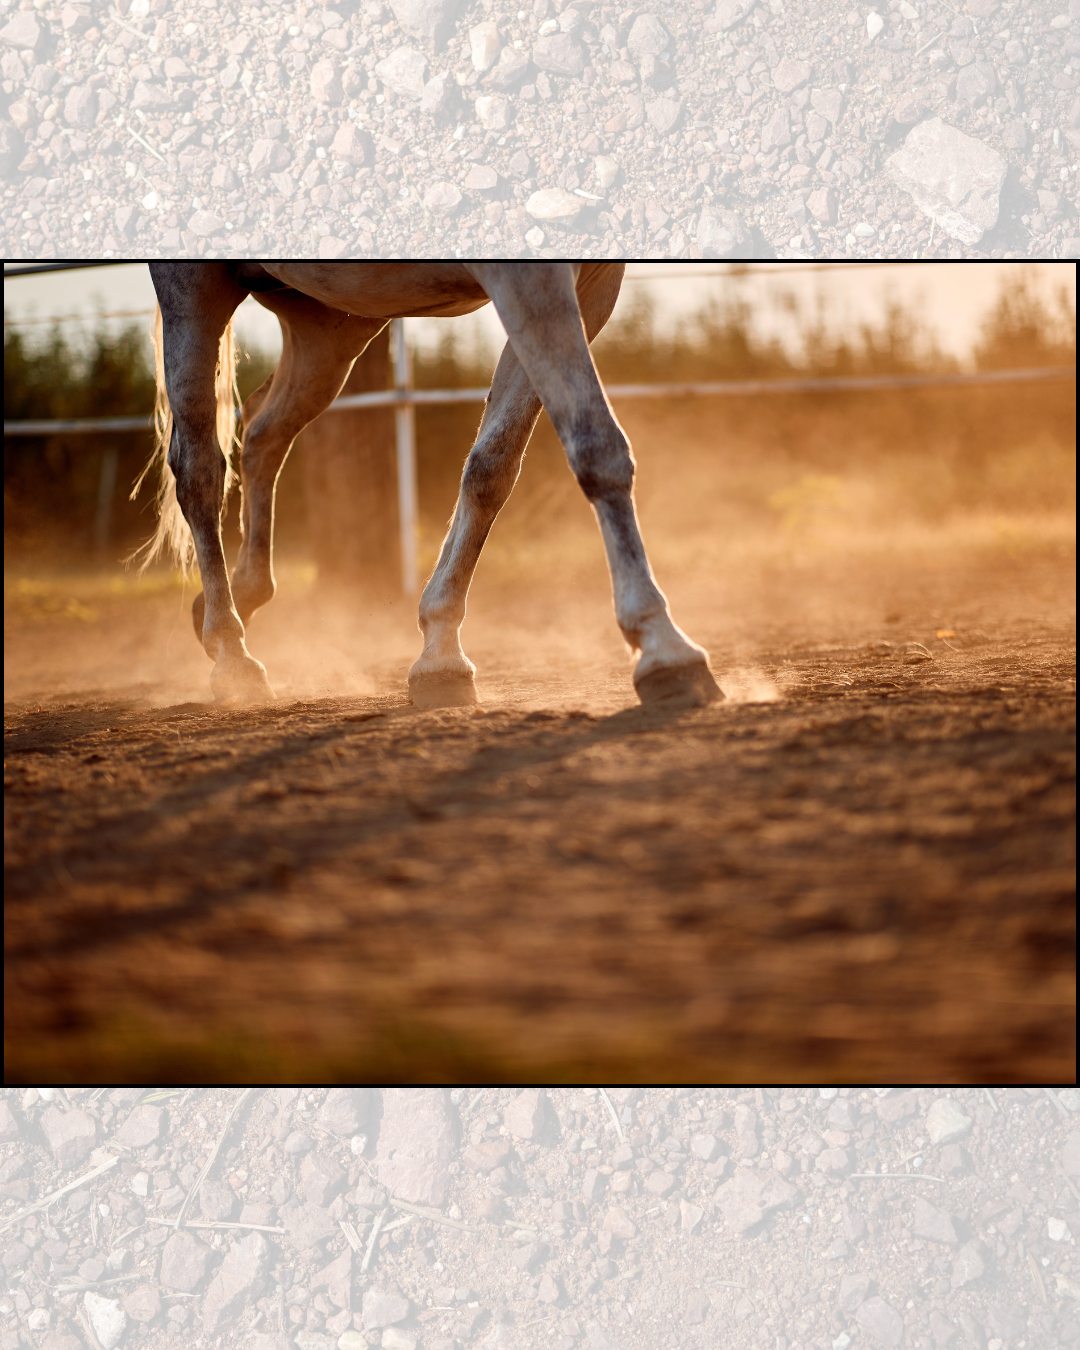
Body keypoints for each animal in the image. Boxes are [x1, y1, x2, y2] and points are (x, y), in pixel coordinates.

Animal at [138, 262, 722, 711]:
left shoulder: (589, 284)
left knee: (262, 431)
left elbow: (492, 466)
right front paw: (664, 647)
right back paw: (231, 654)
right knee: (199, 468)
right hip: (196, 291)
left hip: (331, 323)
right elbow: (597, 446)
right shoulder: (529, 277)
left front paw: (441, 655)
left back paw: (239, 597)